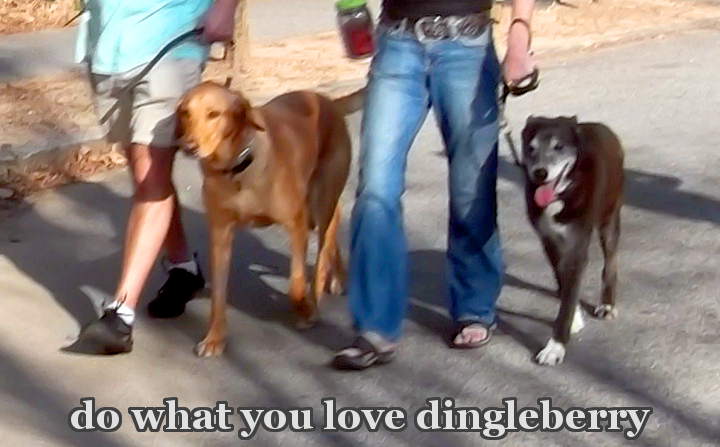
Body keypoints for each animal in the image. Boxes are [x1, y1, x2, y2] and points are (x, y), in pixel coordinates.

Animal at [177, 81, 362, 356]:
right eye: (185, 113)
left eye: (214, 114)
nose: (188, 147)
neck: (237, 170)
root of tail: (326, 101)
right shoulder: (220, 234)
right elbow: (218, 297)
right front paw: (215, 338)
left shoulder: (296, 224)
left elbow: (296, 285)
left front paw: (305, 308)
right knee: (333, 228)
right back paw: (337, 276)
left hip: (322, 198)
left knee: (323, 247)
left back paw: (318, 297)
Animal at [520, 116, 624, 366]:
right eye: (530, 148)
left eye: (559, 147)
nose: (540, 173)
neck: (561, 194)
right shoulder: (549, 241)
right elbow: (563, 282)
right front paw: (574, 317)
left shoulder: (576, 247)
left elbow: (568, 293)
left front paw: (555, 347)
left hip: (609, 218)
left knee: (611, 262)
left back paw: (607, 304)